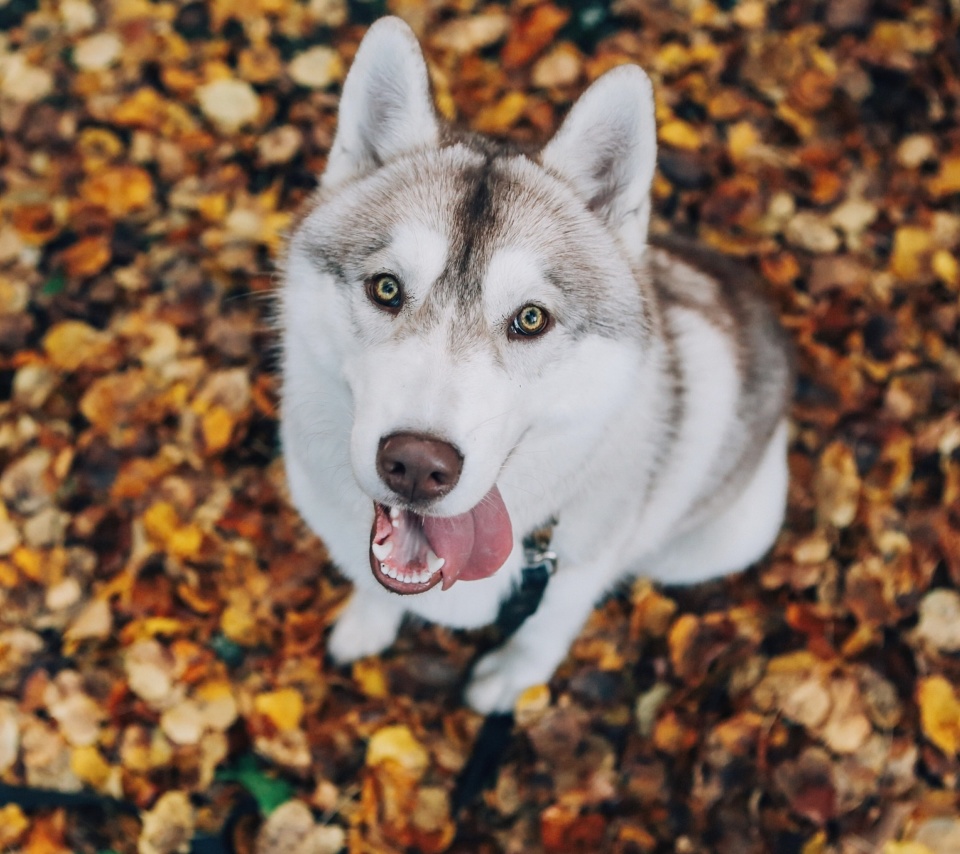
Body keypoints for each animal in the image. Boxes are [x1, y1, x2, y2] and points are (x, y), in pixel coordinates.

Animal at [282, 18, 792, 716]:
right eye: (386, 289)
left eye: (530, 319)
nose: (416, 464)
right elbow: (372, 584)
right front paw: (367, 623)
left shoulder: (578, 568)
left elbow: (545, 628)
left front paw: (511, 678)